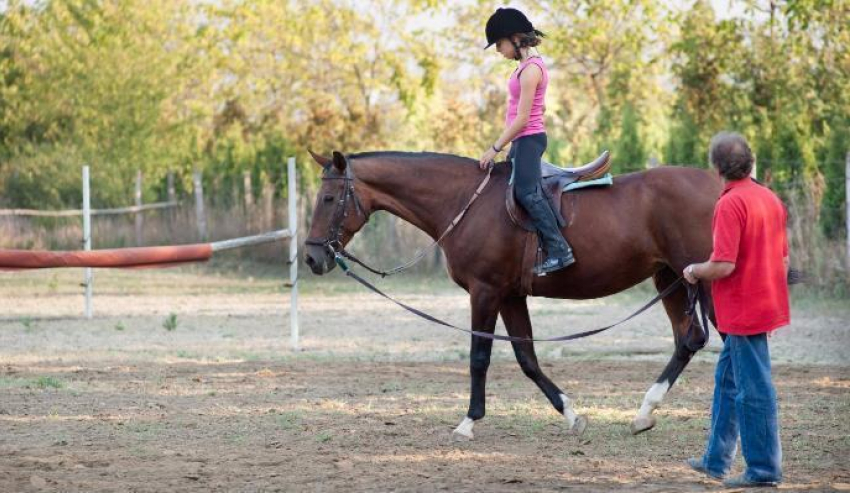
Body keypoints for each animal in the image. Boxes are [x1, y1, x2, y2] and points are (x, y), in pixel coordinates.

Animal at [303, 150, 721, 440]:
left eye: (328, 198)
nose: (311, 257)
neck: (464, 203)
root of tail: (719, 186)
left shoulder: (485, 292)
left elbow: (479, 358)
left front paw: (468, 422)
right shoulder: (510, 297)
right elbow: (527, 358)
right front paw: (572, 415)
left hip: (705, 281)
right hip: (669, 278)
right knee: (689, 339)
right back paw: (644, 412)